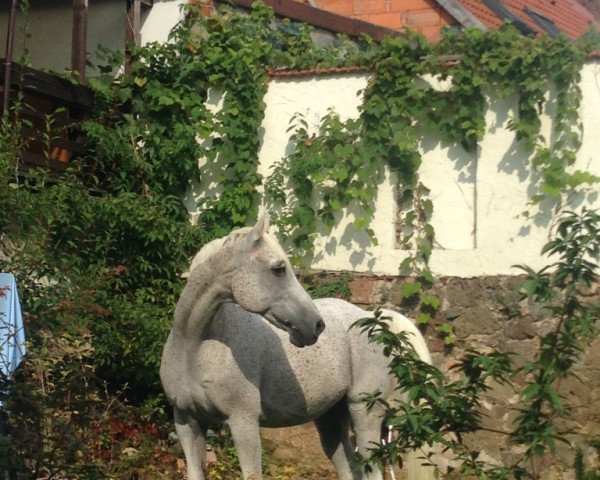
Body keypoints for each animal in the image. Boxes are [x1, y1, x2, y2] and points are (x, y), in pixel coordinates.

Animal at [159, 217, 432, 480]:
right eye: (279, 269)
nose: (316, 326)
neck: (194, 348)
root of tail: (374, 319)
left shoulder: (243, 423)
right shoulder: (186, 422)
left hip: (366, 414)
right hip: (332, 418)